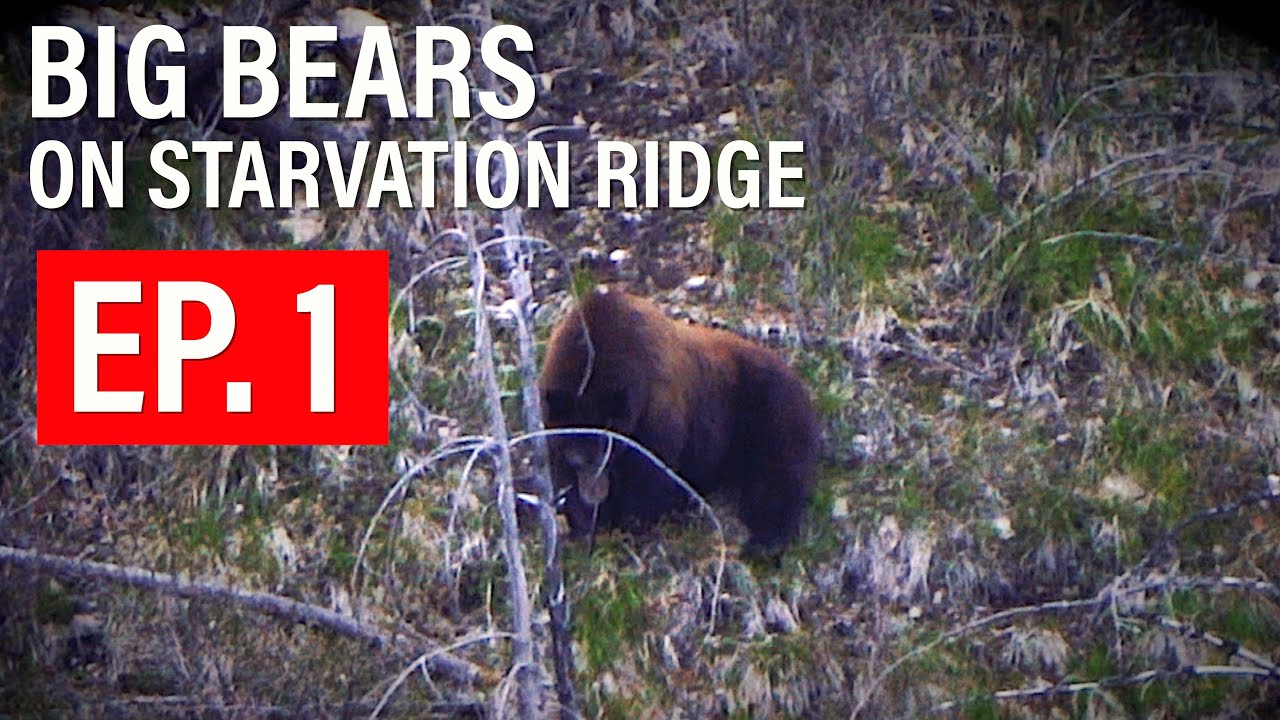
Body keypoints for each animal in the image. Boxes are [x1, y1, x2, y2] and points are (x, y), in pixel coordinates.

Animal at [538, 287, 820, 551]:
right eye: (575, 459)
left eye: (609, 453)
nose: (594, 498)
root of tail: (800, 383)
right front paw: (584, 523)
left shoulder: (656, 415)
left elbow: (651, 480)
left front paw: (628, 524)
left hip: (767, 415)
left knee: (778, 478)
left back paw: (764, 542)